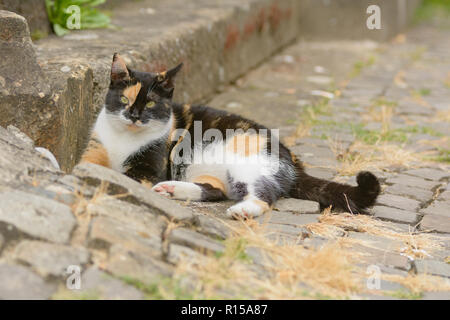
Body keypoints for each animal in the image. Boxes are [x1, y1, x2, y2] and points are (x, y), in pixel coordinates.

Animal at [81, 54, 380, 220]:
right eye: (124, 99)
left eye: (152, 103)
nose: (134, 115)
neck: (124, 138)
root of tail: (294, 161)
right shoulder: (95, 146)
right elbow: (89, 163)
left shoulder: (148, 167)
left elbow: (125, 176)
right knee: (215, 190)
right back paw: (172, 188)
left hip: (250, 164)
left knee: (263, 194)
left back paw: (243, 210)